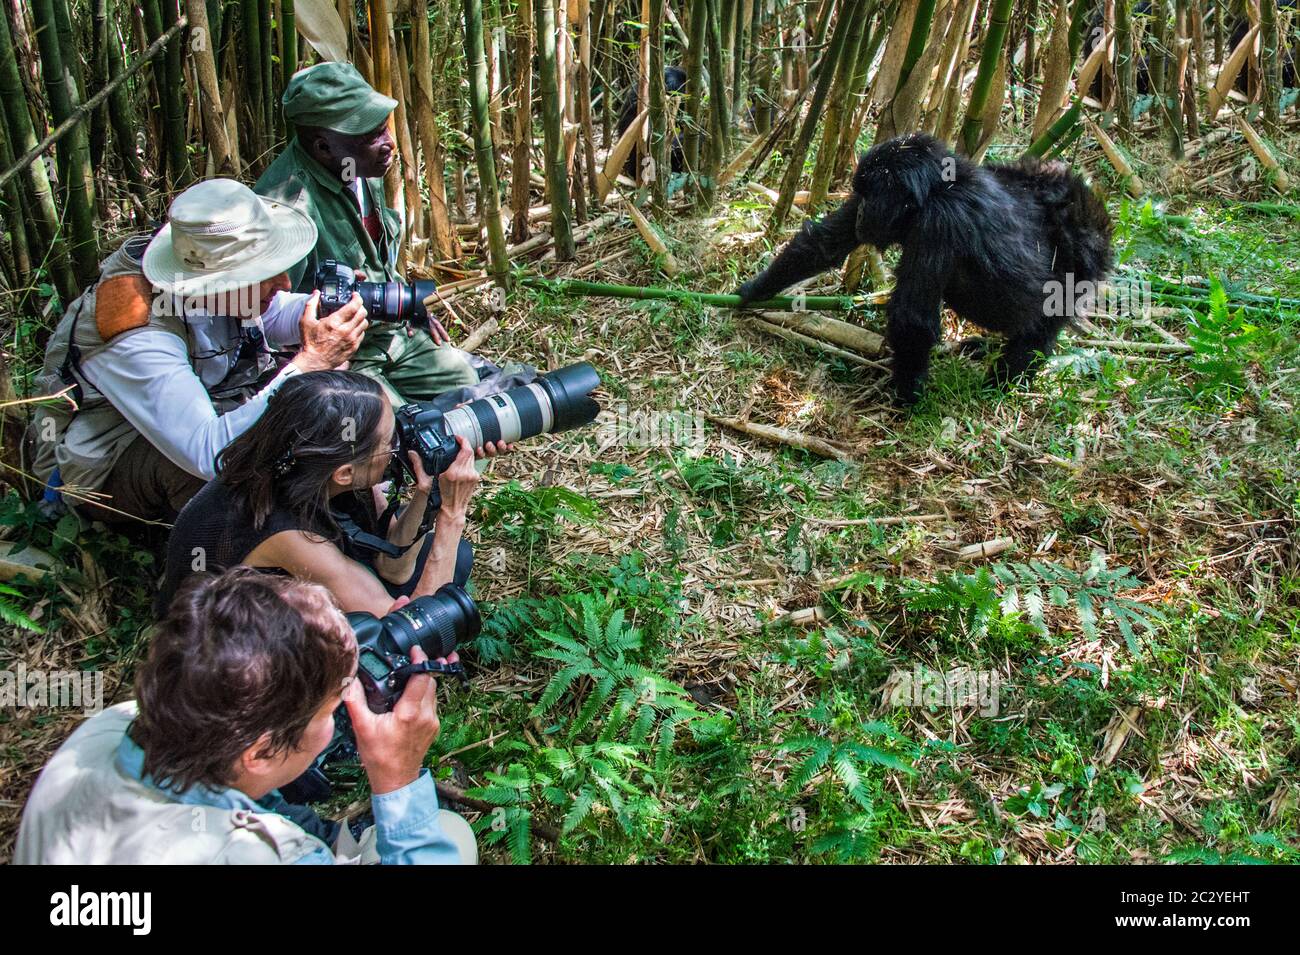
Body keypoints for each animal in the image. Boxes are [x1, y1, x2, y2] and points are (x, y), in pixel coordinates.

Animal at [738, 133, 1112, 402]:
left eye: (871, 197)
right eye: (861, 195)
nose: (861, 214)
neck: (936, 188)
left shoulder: (939, 222)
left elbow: (912, 318)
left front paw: (907, 399)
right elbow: (823, 243)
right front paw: (753, 291)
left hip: (1079, 269)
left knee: (1040, 326)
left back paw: (1002, 382)